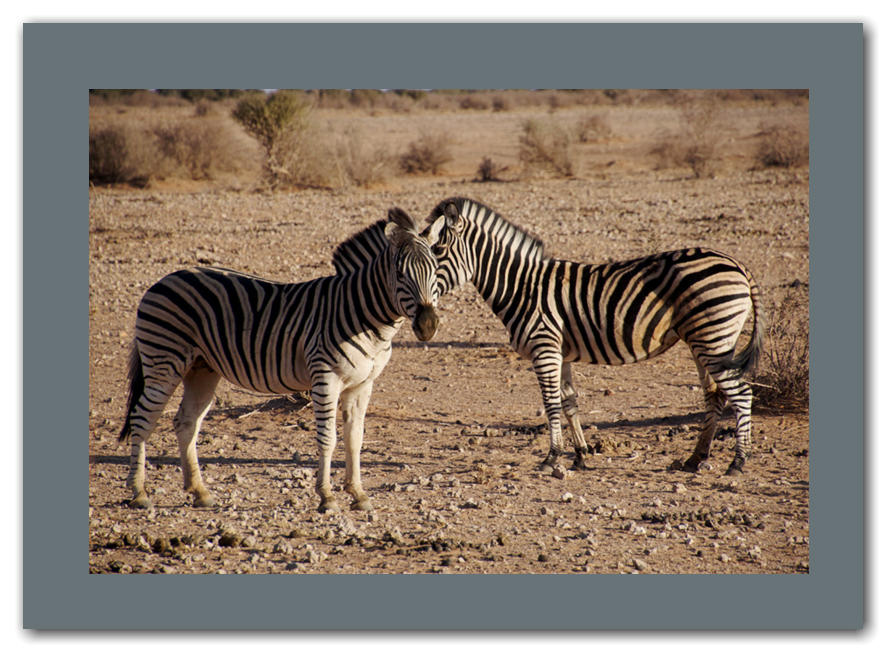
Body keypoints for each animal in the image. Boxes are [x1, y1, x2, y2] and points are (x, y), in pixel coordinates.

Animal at [117, 208, 442, 513]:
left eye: (436, 271)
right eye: (400, 274)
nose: (427, 325)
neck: (363, 315)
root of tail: (165, 278)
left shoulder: (362, 384)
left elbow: (355, 439)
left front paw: (359, 495)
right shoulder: (326, 377)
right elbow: (328, 438)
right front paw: (327, 497)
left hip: (202, 369)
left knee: (186, 422)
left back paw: (200, 492)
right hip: (164, 361)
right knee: (142, 419)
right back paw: (139, 493)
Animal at [418, 197, 765, 477]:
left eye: (438, 250)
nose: (425, 324)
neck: (522, 287)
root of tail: (737, 264)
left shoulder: (545, 348)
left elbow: (550, 403)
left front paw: (551, 458)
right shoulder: (560, 353)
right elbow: (569, 402)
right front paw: (580, 455)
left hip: (713, 339)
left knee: (741, 393)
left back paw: (738, 462)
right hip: (704, 340)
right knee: (715, 395)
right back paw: (695, 459)